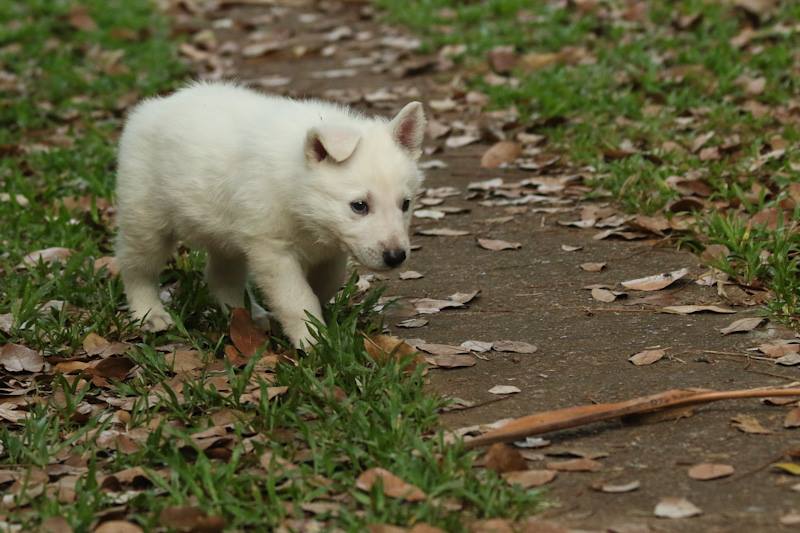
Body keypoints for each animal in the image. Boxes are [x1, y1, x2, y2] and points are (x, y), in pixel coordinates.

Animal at [115, 81, 424, 348]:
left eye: (405, 204)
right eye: (359, 206)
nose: (396, 257)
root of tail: (154, 106)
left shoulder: (331, 248)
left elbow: (325, 284)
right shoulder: (273, 250)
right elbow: (297, 297)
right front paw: (314, 341)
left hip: (226, 235)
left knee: (221, 276)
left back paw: (248, 316)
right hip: (145, 219)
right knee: (136, 267)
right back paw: (150, 314)